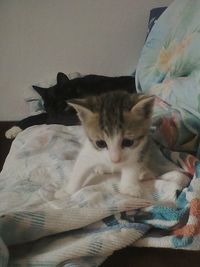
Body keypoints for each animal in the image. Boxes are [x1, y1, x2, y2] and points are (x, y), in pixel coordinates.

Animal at [55, 91, 189, 198]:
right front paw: (67, 191)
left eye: (128, 142)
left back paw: (144, 173)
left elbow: (131, 168)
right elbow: (80, 168)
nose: (115, 160)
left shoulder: (138, 151)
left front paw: (129, 188)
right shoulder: (89, 151)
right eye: (100, 143)